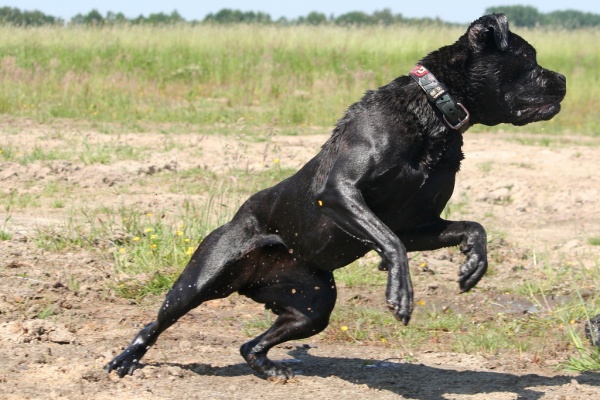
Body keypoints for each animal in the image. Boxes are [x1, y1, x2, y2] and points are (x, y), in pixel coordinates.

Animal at [106, 14, 568, 380]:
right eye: (529, 59)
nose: (563, 79)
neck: (432, 114)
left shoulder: (420, 225)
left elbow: (473, 227)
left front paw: (474, 263)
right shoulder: (341, 192)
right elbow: (391, 243)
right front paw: (400, 293)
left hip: (313, 305)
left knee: (250, 345)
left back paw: (269, 368)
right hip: (201, 279)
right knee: (156, 322)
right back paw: (124, 360)